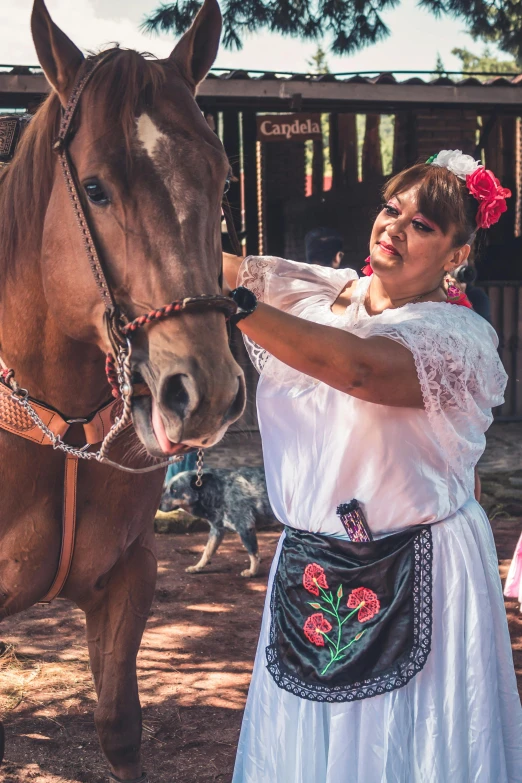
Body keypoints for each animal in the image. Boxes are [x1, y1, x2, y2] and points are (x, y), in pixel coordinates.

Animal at [0, 1, 244, 776]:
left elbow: (119, 727)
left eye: (223, 181)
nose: (202, 390)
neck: (62, 429)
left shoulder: (128, 575)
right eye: (96, 188)